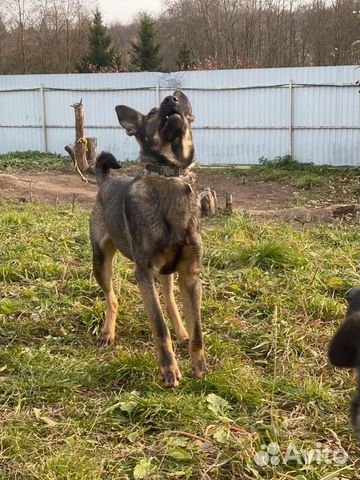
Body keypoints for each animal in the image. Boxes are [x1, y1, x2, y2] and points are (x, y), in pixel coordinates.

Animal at [89, 92, 207, 388]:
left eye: (176, 101)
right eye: (152, 114)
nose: (171, 99)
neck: (169, 174)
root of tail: (105, 183)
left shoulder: (191, 274)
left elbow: (197, 329)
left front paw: (199, 366)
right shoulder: (143, 273)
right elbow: (159, 326)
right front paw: (169, 370)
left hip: (167, 273)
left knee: (170, 300)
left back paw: (182, 332)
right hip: (100, 261)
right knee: (112, 298)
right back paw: (107, 333)